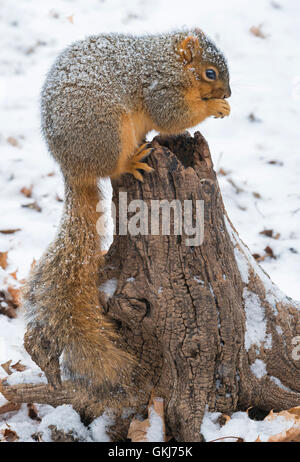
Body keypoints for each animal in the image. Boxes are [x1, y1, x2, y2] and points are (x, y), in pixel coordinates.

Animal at [23, 27, 232, 392]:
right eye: (210, 73)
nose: (230, 92)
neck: (168, 61)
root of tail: (73, 169)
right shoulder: (161, 91)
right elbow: (174, 116)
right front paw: (216, 106)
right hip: (107, 133)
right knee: (114, 167)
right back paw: (132, 162)